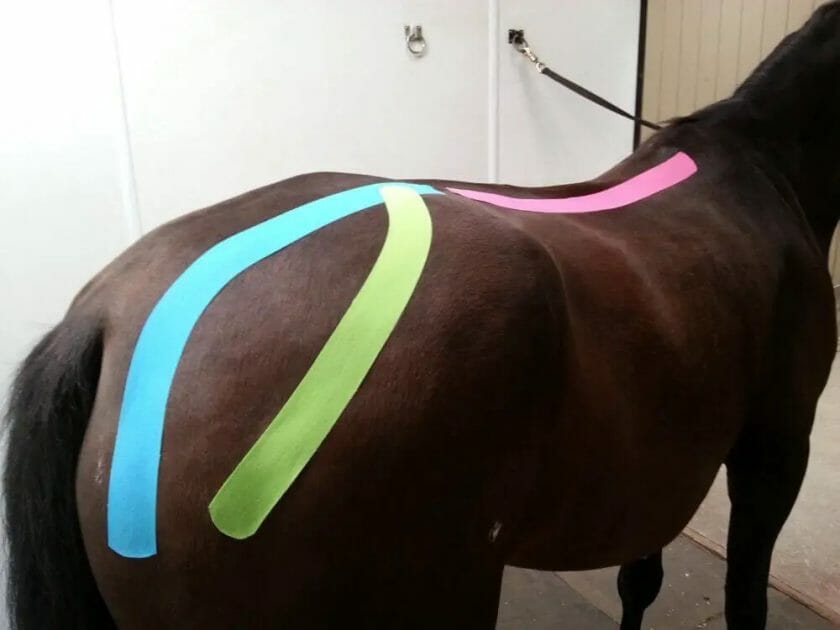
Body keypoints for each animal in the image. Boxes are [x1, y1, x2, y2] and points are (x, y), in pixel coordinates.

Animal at [4, 2, 840, 628]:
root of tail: (106, 318)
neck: (755, 168)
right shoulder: (774, 452)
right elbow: (742, 600)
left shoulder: (668, 466)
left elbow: (642, 579)